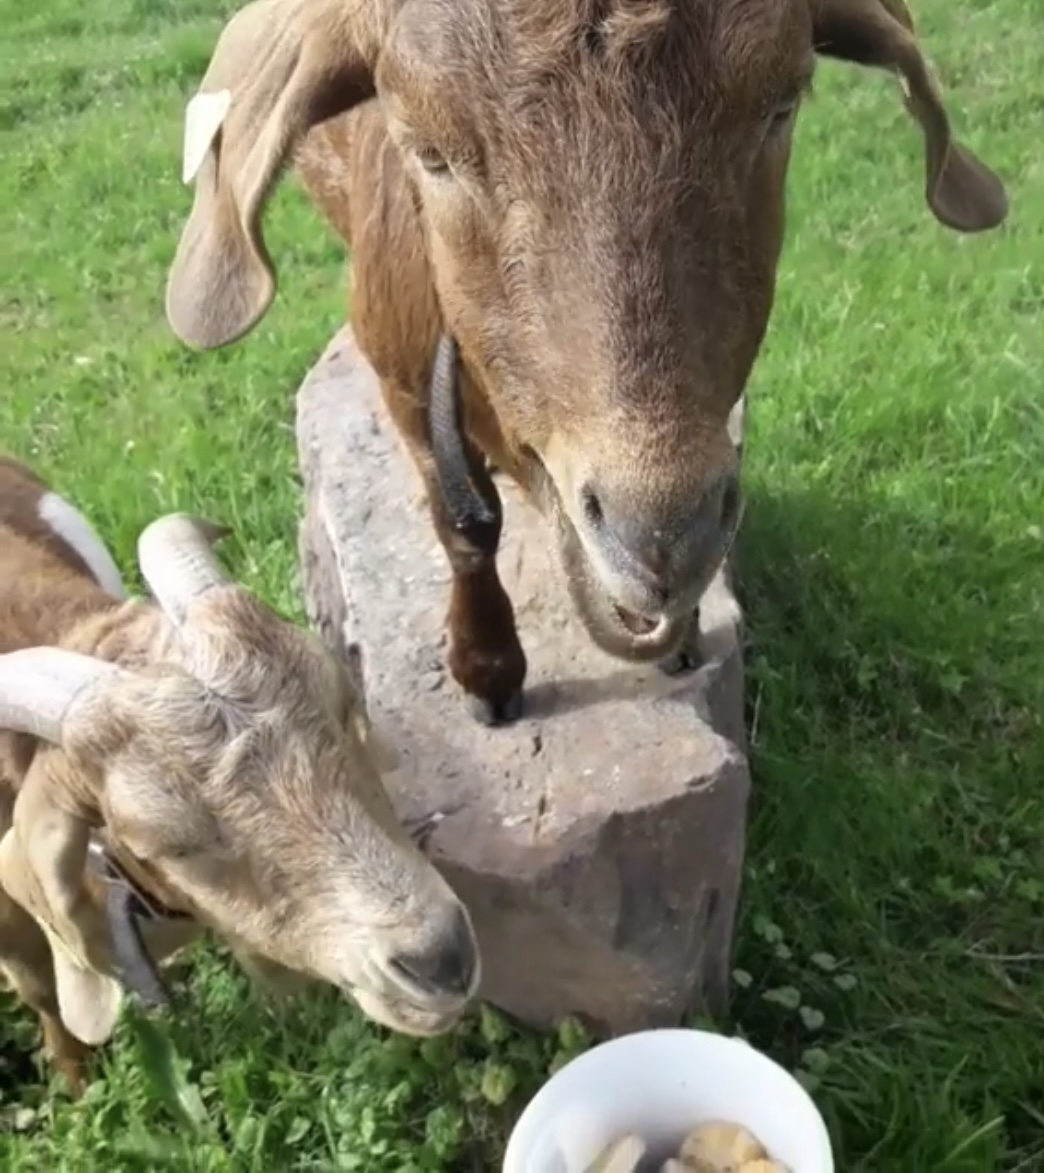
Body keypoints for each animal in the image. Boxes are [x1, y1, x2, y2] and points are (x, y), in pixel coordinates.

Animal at [164, 0, 1009, 726]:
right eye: (429, 153)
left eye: (780, 107)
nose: (663, 532)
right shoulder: (401, 377)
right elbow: (463, 525)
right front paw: (487, 671)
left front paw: (674, 629)